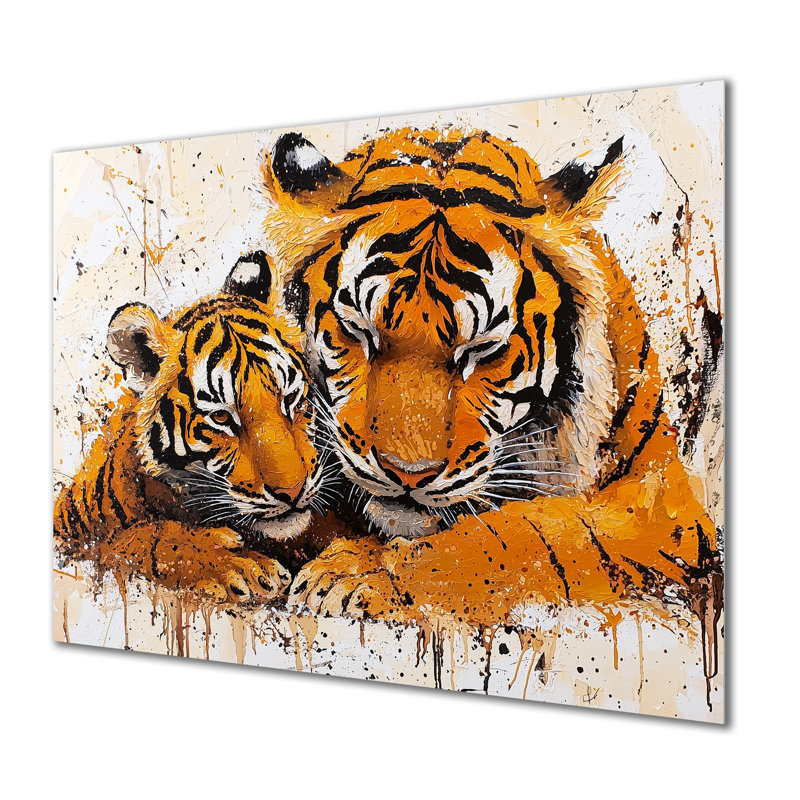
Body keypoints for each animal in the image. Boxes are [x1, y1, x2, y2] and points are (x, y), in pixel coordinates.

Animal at [54, 251, 342, 604]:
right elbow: (142, 540)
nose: (292, 493)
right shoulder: (76, 538)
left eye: (289, 398)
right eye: (221, 417)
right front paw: (239, 566)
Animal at [257, 128, 722, 628]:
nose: (406, 475)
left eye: (482, 351)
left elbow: (525, 536)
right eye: (359, 332)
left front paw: (365, 574)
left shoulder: (659, 510)